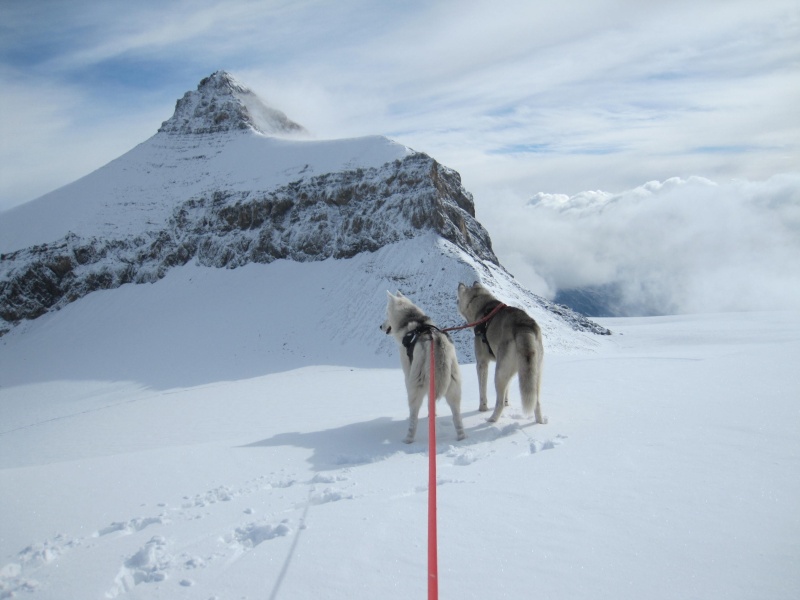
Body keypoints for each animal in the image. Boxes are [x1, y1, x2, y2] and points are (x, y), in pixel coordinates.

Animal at [380, 292, 466, 442]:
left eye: (386, 313)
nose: (380, 326)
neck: (412, 320)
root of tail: (437, 342)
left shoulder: (407, 372)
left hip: (416, 384)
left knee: (414, 416)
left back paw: (408, 439)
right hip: (453, 386)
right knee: (456, 416)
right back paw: (461, 436)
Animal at [456, 284, 544, 424]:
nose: (459, 284)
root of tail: (523, 325)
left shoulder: (481, 363)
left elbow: (482, 391)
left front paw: (482, 408)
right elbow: (507, 390)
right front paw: (508, 403)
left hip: (499, 373)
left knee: (499, 402)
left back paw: (491, 419)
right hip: (534, 373)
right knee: (536, 402)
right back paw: (540, 422)